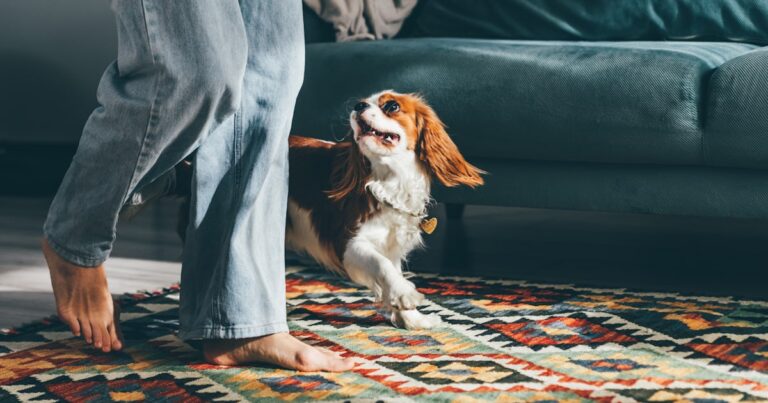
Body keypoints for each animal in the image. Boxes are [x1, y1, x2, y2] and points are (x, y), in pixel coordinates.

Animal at [284, 92, 484, 332]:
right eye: (362, 102)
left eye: (392, 106)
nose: (358, 105)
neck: (389, 182)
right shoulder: (348, 243)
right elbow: (382, 265)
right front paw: (404, 293)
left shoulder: (391, 244)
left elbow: (392, 269)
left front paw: (412, 318)